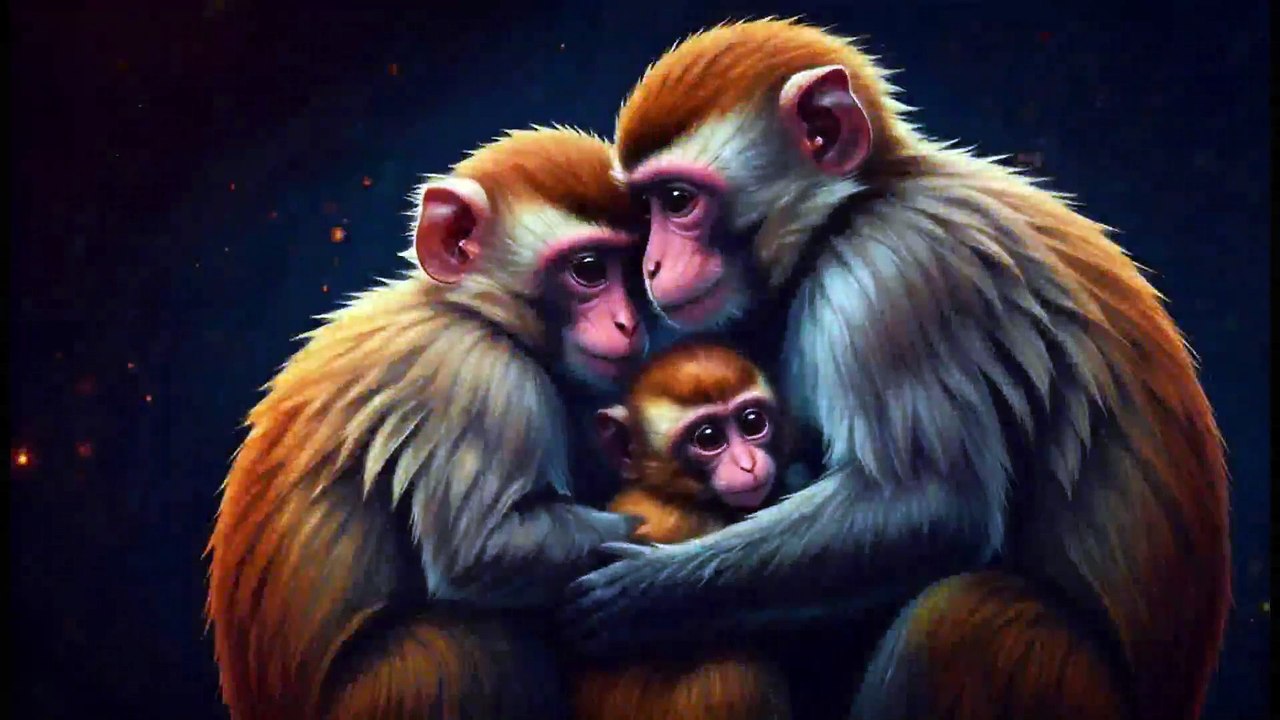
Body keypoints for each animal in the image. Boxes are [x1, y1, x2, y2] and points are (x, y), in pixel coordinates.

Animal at [205, 126, 655, 720]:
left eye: (633, 270)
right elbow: (482, 553)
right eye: (588, 270)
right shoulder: (478, 378)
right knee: (461, 643)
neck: (467, 310)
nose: (628, 323)